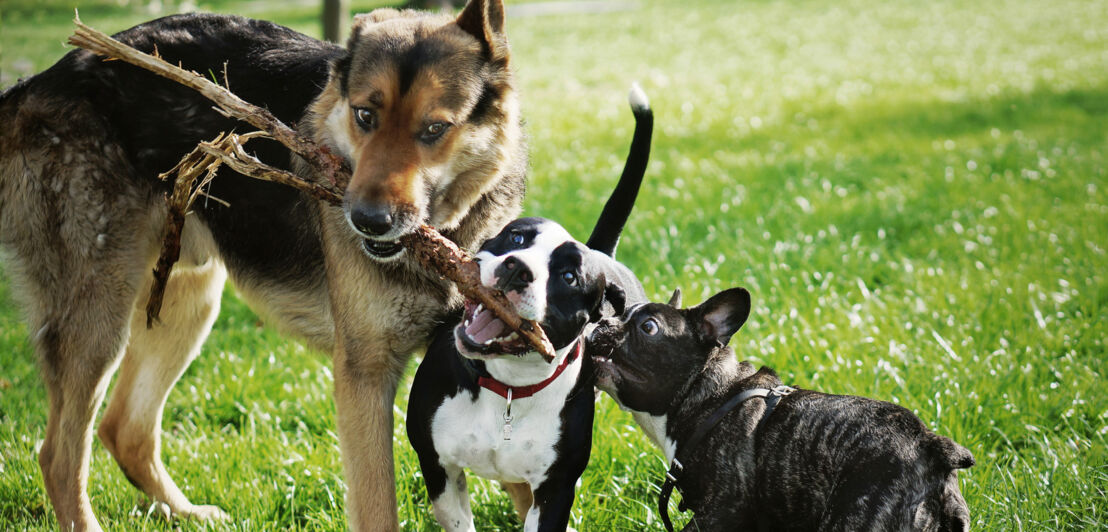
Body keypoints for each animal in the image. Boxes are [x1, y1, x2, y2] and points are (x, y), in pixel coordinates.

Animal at [0, 2, 525, 529]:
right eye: (365, 116)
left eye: (435, 129)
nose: (367, 221)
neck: (448, 237)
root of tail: (40, 82)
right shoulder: (365, 376)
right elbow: (378, 508)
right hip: (99, 321)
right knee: (60, 455)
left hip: (186, 302)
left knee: (124, 428)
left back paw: (185, 512)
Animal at [405, 88, 647, 532]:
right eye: (516, 237)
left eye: (568, 277)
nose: (518, 268)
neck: (507, 389)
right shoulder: (439, 468)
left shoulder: (555, 491)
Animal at [593, 288, 975, 532]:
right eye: (618, 314)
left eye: (648, 327)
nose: (603, 323)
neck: (711, 396)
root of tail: (930, 446)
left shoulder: (720, 513)